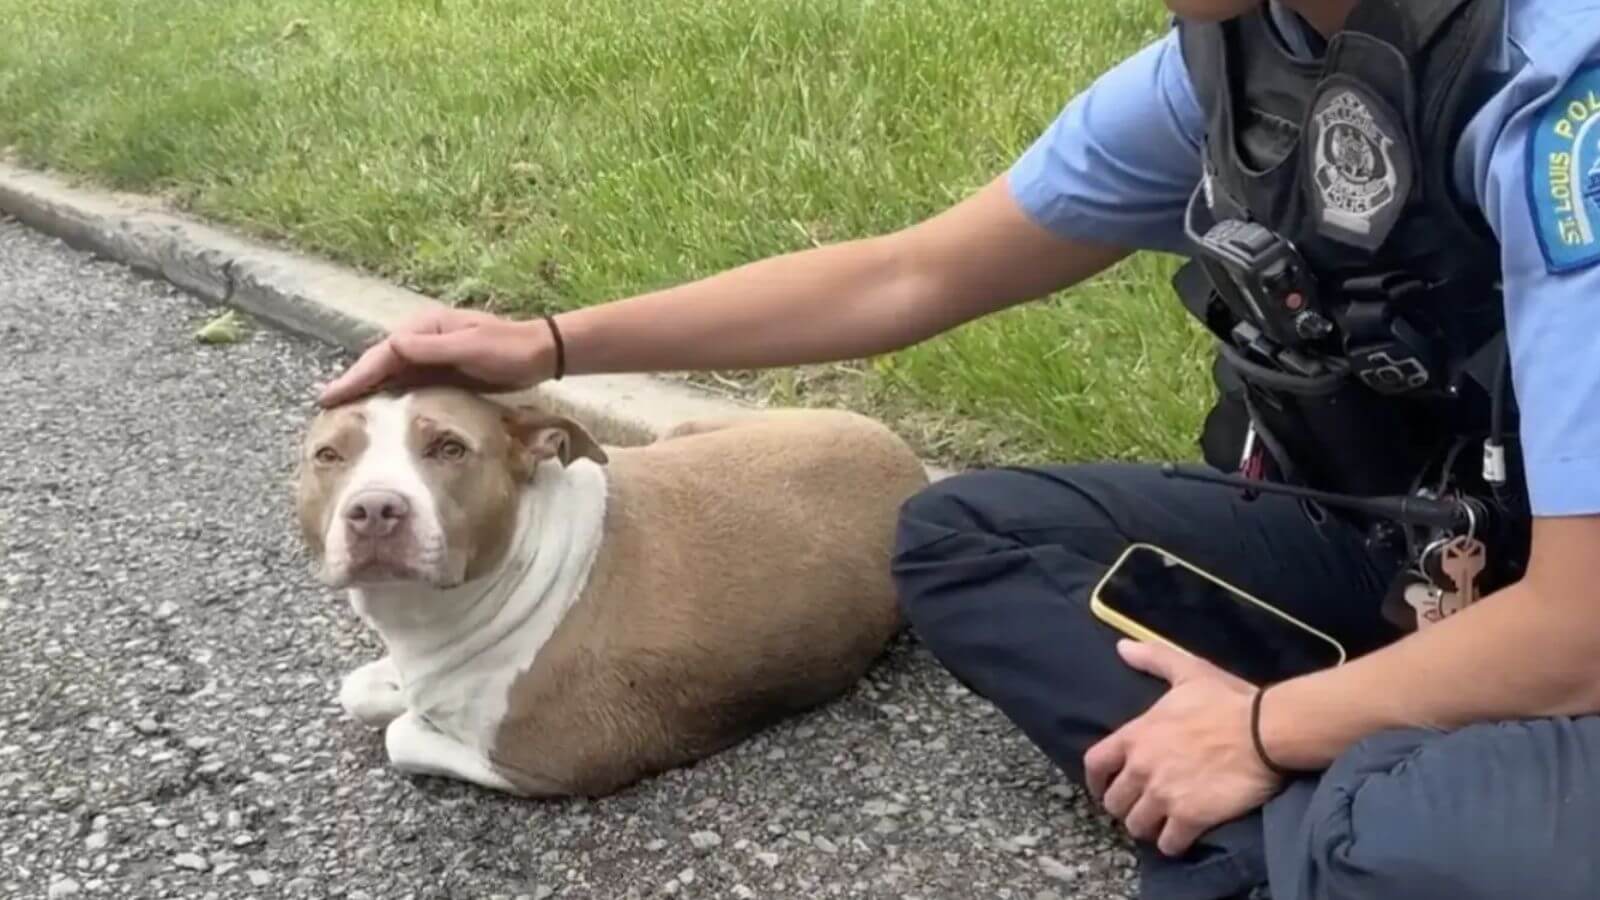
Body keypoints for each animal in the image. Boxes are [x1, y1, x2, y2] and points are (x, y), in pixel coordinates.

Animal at [294, 385, 934, 791]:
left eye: (450, 447)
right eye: (327, 455)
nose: (374, 509)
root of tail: (905, 455)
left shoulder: (549, 760)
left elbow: (401, 734)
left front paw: (415, 712)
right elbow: (361, 689)